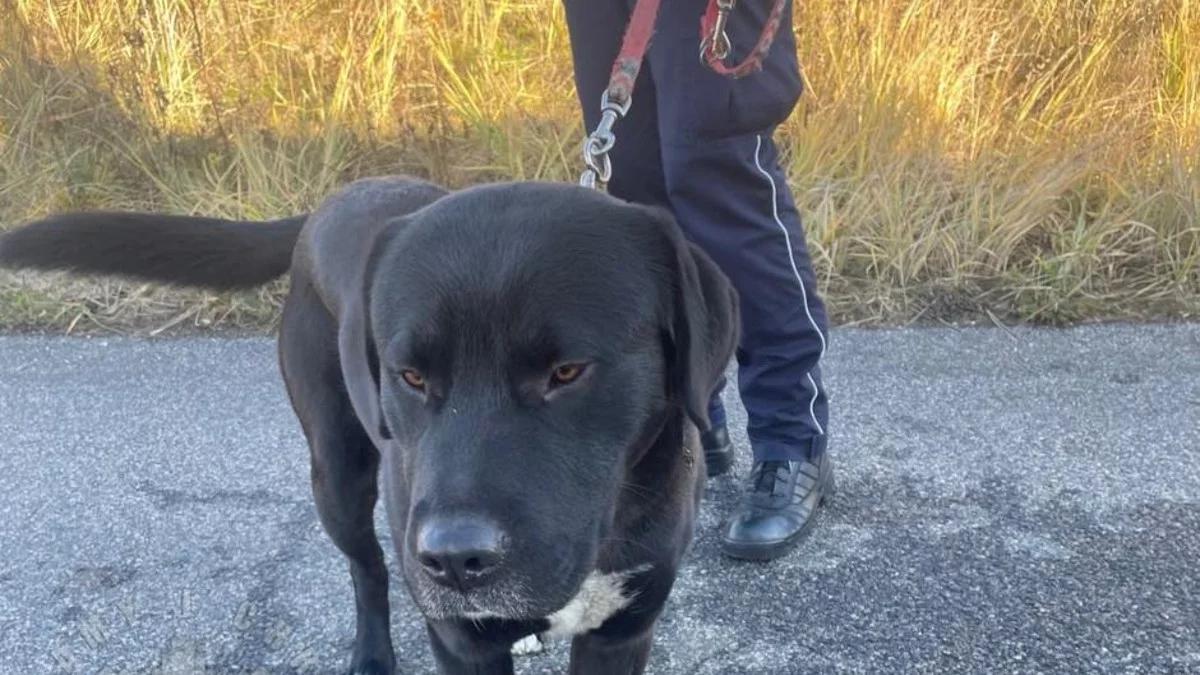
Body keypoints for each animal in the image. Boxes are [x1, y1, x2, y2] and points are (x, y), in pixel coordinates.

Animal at [0, 176, 734, 667]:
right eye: (410, 375)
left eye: (567, 371)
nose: (454, 560)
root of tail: (334, 199)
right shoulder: (461, 642)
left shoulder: (623, 630)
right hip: (339, 474)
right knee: (369, 571)